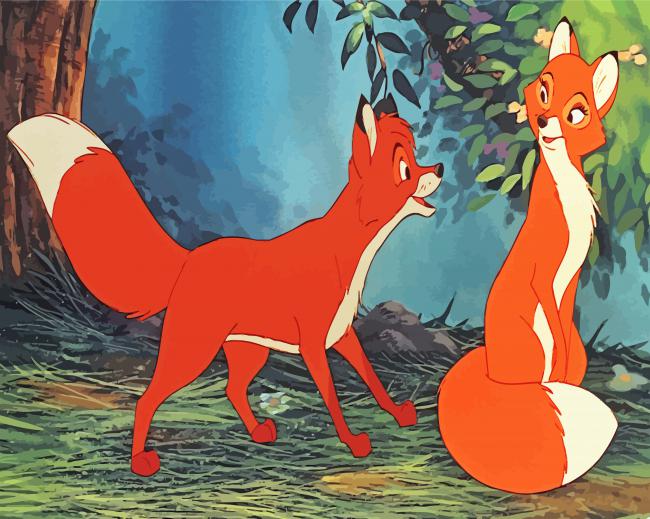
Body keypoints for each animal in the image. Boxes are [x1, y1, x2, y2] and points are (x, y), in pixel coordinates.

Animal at [8, 94, 443, 477]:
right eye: (405, 169)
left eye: (417, 160)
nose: (438, 168)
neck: (347, 251)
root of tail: (189, 258)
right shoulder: (313, 347)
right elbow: (333, 399)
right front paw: (352, 443)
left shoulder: (341, 336)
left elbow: (373, 380)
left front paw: (398, 415)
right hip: (192, 353)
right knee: (146, 400)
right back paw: (141, 463)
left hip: (250, 352)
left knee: (232, 390)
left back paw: (258, 433)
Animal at [437, 18, 619, 494]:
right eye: (543, 91)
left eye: (576, 113)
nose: (540, 120)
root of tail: (489, 366)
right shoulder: (543, 275)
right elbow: (554, 334)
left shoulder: (569, 279)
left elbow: (565, 340)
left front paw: (564, 377)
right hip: (529, 343)